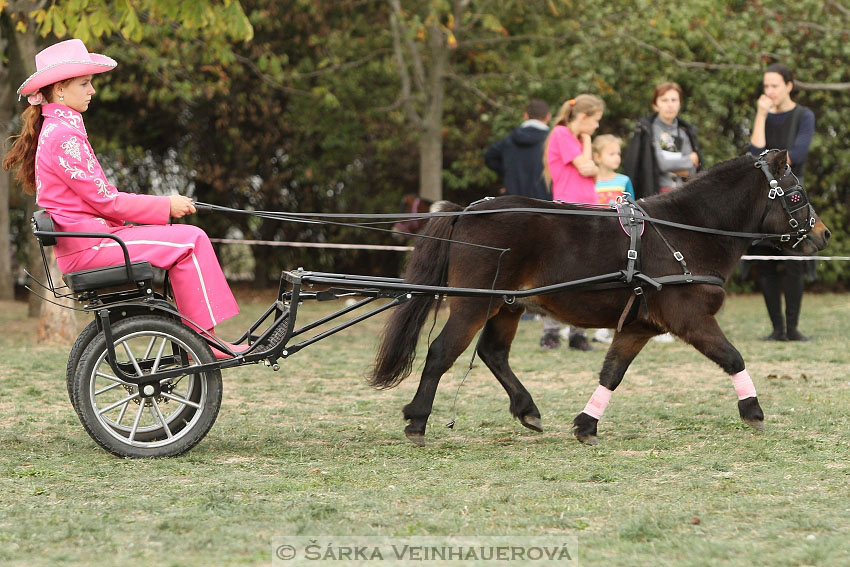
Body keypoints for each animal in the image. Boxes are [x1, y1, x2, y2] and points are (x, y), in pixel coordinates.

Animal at [370, 152, 828, 448]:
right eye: (795, 195)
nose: (823, 234)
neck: (686, 231)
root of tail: (466, 211)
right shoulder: (691, 319)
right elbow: (732, 357)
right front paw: (753, 411)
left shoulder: (639, 326)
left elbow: (612, 373)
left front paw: (586, 425)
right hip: (472, 305)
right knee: (440, 353)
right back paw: (417, 420)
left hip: (507, 305)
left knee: (493, 353)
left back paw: (527, 408)